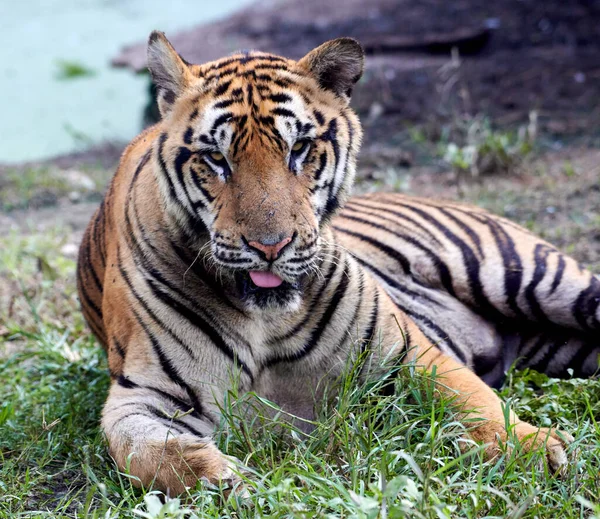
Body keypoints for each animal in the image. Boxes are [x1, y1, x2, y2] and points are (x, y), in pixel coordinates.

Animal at [76, 31, 600, 496]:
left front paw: (535, 449)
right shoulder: (140, 395)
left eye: (298, 149)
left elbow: (474, 399)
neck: (265, 321)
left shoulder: (408, 352)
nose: (271, 246)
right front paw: (223, 480)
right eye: (216, 158)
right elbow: (146, 452)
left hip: (539, 281)